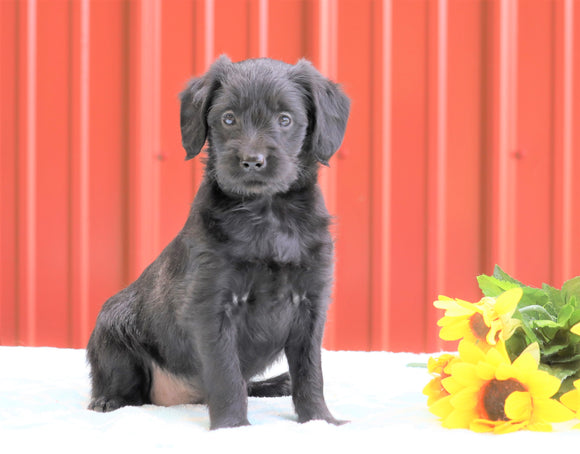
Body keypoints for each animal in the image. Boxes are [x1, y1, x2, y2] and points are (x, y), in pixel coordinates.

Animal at [86, 55, 348, 430]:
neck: (266, 215)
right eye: (228, 118)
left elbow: (310, 372)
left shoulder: (311, 304)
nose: (252, 161)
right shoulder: (212, 307)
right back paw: (108, 400)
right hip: (112, 325)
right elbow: (226, 375)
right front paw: (232, 427)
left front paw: (320, 420)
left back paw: (275, 384)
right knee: (125, 386)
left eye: (285, 119)